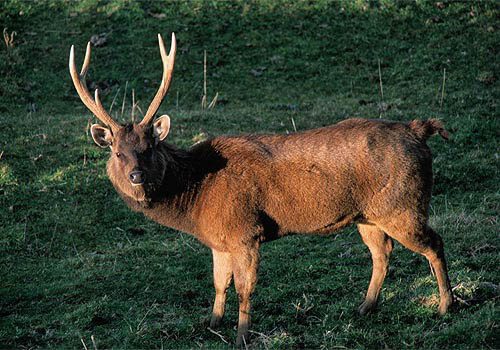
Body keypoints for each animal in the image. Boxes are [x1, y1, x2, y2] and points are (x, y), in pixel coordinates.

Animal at [69, 33, 454, 348]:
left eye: (149, 147)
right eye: (118, 152)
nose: (136, 176)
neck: (196, 199)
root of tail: (419, 130)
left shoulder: (245, 231)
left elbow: (244, 288)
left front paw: (242, 336)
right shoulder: (219, 240)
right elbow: (218, 283)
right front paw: (212, 324)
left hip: (403, 204)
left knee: (434, 243)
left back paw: (445, 306)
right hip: (369, 216)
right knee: (382, 253)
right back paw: (364, 308)